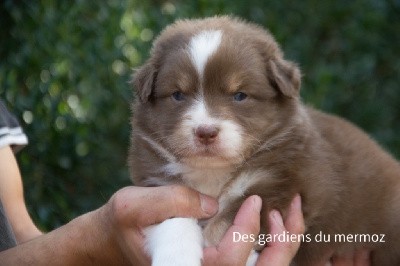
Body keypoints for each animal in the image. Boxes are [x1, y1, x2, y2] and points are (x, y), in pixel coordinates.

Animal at [128, 15, 400, 264]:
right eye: (177, 95)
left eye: (239, 95)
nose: (205, 131)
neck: (213, 172)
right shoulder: (160, 186)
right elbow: (173, 219)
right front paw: (177, 257)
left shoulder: (285, 184)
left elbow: (222, 226)